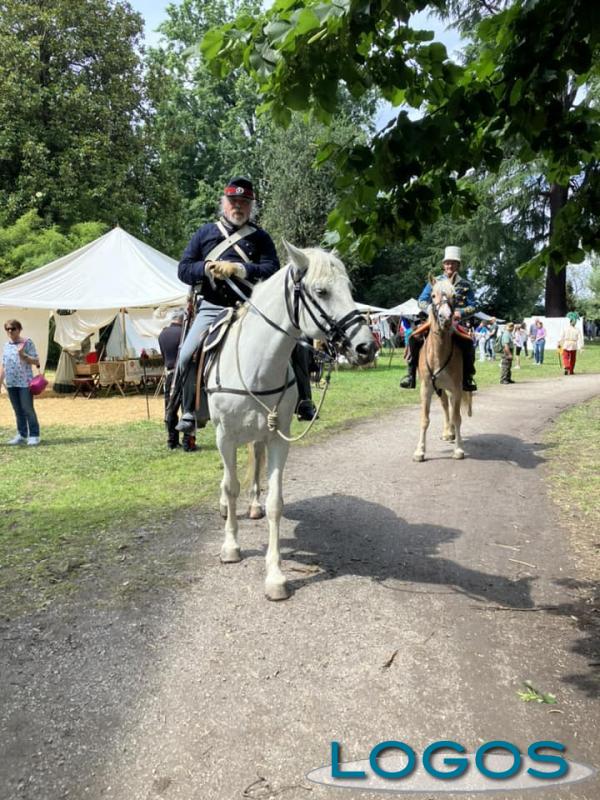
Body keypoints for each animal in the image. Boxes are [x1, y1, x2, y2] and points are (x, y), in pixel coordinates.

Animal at [205, 241, 376, 600]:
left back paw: (253, 505)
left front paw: (275, 575)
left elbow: (275, 502)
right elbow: (230, 486)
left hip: (258, 435)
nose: (366, 347)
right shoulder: (224, 436)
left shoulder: (277, 437)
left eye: (349, 288)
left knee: (255, 464)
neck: (255, 368)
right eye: (321, 291)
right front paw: (231, 546)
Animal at [413, 277, 473, 462]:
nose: (445, 318)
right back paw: (448, 432)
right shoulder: (426, 388)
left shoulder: (456, 388)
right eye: (433, 295)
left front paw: (458, 449)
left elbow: (457, 417)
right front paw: (420, 451)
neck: (438, 354)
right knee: (446, 406)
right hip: (439, 388)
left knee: (452, 409)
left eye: (455, 296)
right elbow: (424, 419)